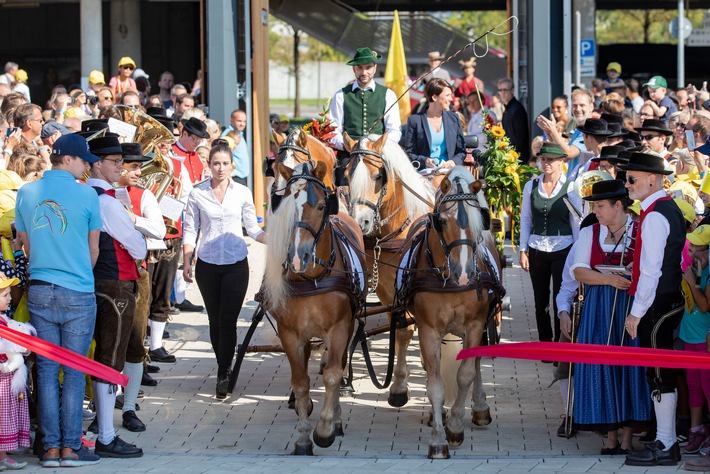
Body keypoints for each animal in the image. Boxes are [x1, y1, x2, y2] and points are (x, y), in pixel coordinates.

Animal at [264, 161, 370, 454]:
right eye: (287, 205)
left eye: (322, 206)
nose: (297, 257)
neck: (311, 278)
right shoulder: (289, 333)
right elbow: (300, 383)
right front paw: (302, 437)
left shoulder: (340, 327)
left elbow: (333, 374)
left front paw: (325, 429)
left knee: (340, 364)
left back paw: (336, 420)